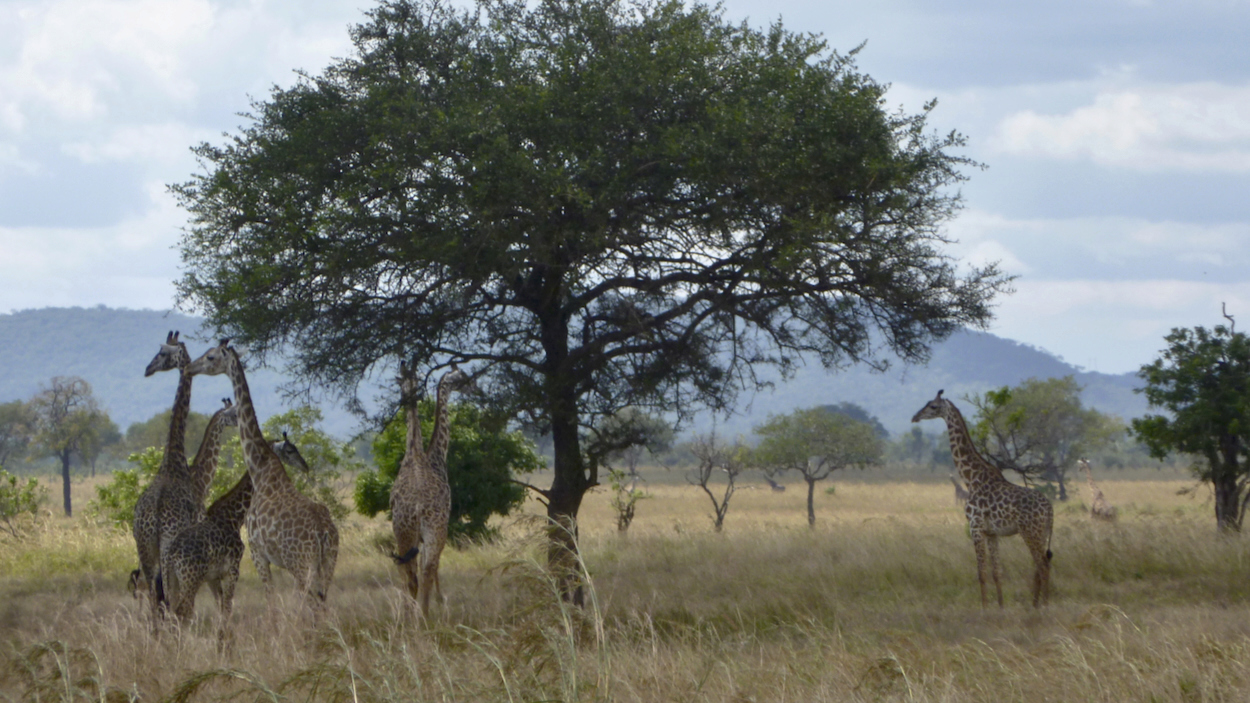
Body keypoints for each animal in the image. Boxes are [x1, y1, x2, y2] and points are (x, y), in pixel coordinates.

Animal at [133, 330, 205, 615]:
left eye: (162, 353)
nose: (147, 369)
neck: (172, 460)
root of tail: (153, 517)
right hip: (166, 547)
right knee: (170, 596)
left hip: (144, 547)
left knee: (153, 596)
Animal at [158, 435, 310, 645]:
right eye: (289, 450)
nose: (305, 466)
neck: (233, 516)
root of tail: (172, 555)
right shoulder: (232, 570)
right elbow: (228, 607)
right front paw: (224, 643)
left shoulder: (213, 577)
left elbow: (221, 607)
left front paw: (222, 641)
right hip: (190, 580)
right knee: (181, 614)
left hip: (171, 581)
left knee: (170, 614)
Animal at [183, 337, 337, 607]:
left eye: (211, 356)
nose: (190, 367)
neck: (260, 468)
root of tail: (324, 533)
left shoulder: (257, 553)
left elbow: (271, 602)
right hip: (328, 563)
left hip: (302, 564)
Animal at [390, 362, 472, 615]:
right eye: (462, 377)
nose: (474, 386)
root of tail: (417, 508)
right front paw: (439, 599)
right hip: (430, 531)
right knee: (423, 569)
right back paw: (422, 613)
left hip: (409, 533)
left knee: (414, 572)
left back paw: (418, 613)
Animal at [910, 387, 1055, 607]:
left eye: (933, 406)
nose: (915, 417)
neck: (971, 478)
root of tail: (1049, 508)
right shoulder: (992, 533)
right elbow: (996, 572)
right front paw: (1001, 606)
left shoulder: (975, 527)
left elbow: (981, 573)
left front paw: (985, 609)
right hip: (1042, 532)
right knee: (1039, 566)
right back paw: (1035, 605)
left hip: (1030, 531)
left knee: (1043, 565)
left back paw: (1044, 606)